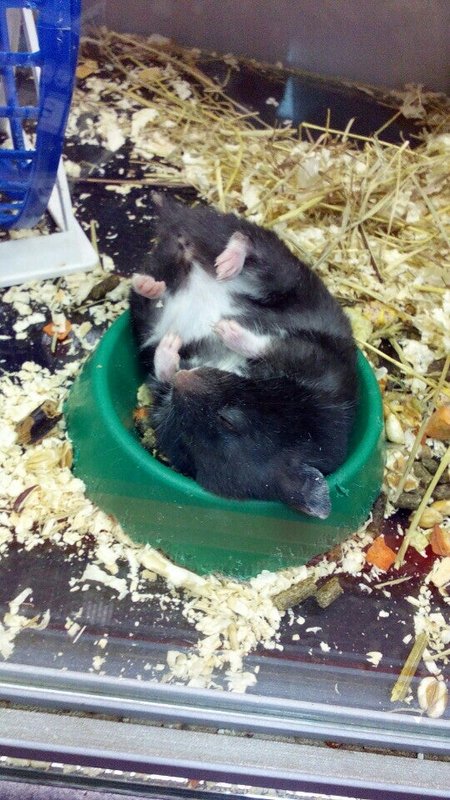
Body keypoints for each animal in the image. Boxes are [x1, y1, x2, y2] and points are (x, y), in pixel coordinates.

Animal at [129, 194, 357, 518]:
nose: (185, 380)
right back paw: (204, 272)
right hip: (273, 271)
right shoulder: (316, 367)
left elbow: (266, 346)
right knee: (243, 248)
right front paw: (214, 331)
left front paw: (219, 330)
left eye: (227, 421)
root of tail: (181, 219)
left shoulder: (315, 363)